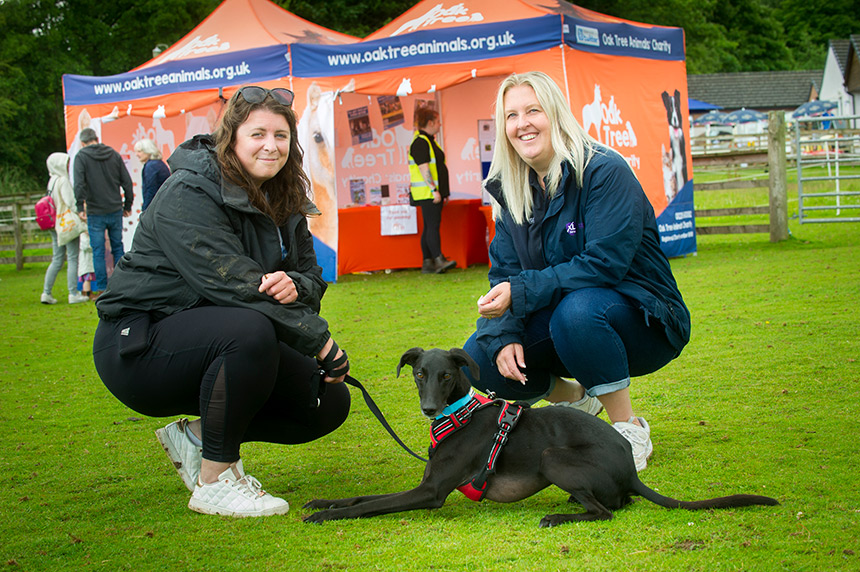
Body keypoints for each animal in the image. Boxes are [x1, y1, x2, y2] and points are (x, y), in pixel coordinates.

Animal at [304, 344, 780, 528]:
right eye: (420, 374)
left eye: (447, 376)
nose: (429, 409)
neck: (459, 416)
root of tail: (630, 469)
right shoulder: (425, 482)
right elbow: (361, 498)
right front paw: (322, 503)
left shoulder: (431, 491)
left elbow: (370, 506)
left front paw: (327, 517)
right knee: (614, 503)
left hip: (553, 456)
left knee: (606, 512)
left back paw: (559, 516)